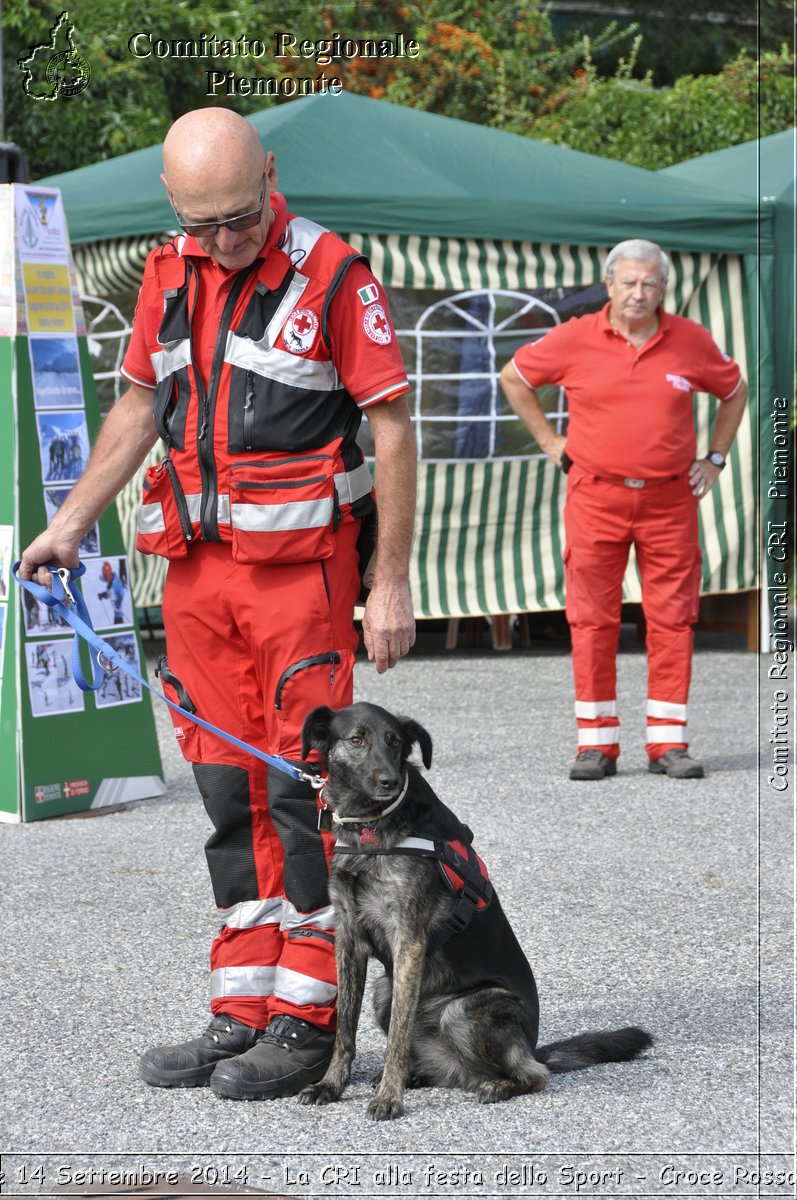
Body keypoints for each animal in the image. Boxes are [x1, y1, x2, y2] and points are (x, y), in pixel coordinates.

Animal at [295, 700, 652, 1118]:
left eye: (395, 742)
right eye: (357, 740)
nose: (390, 781)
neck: (369, 826)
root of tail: (532, 1049)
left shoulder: (408, 940)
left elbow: (396, 1038)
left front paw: (388, 1097)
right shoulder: (349, 937)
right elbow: (344, 1028)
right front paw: (331, 1085)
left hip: (465, 1010)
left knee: (533, 1075)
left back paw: (493, 1084)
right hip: (385, 992)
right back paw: (421, 1074)